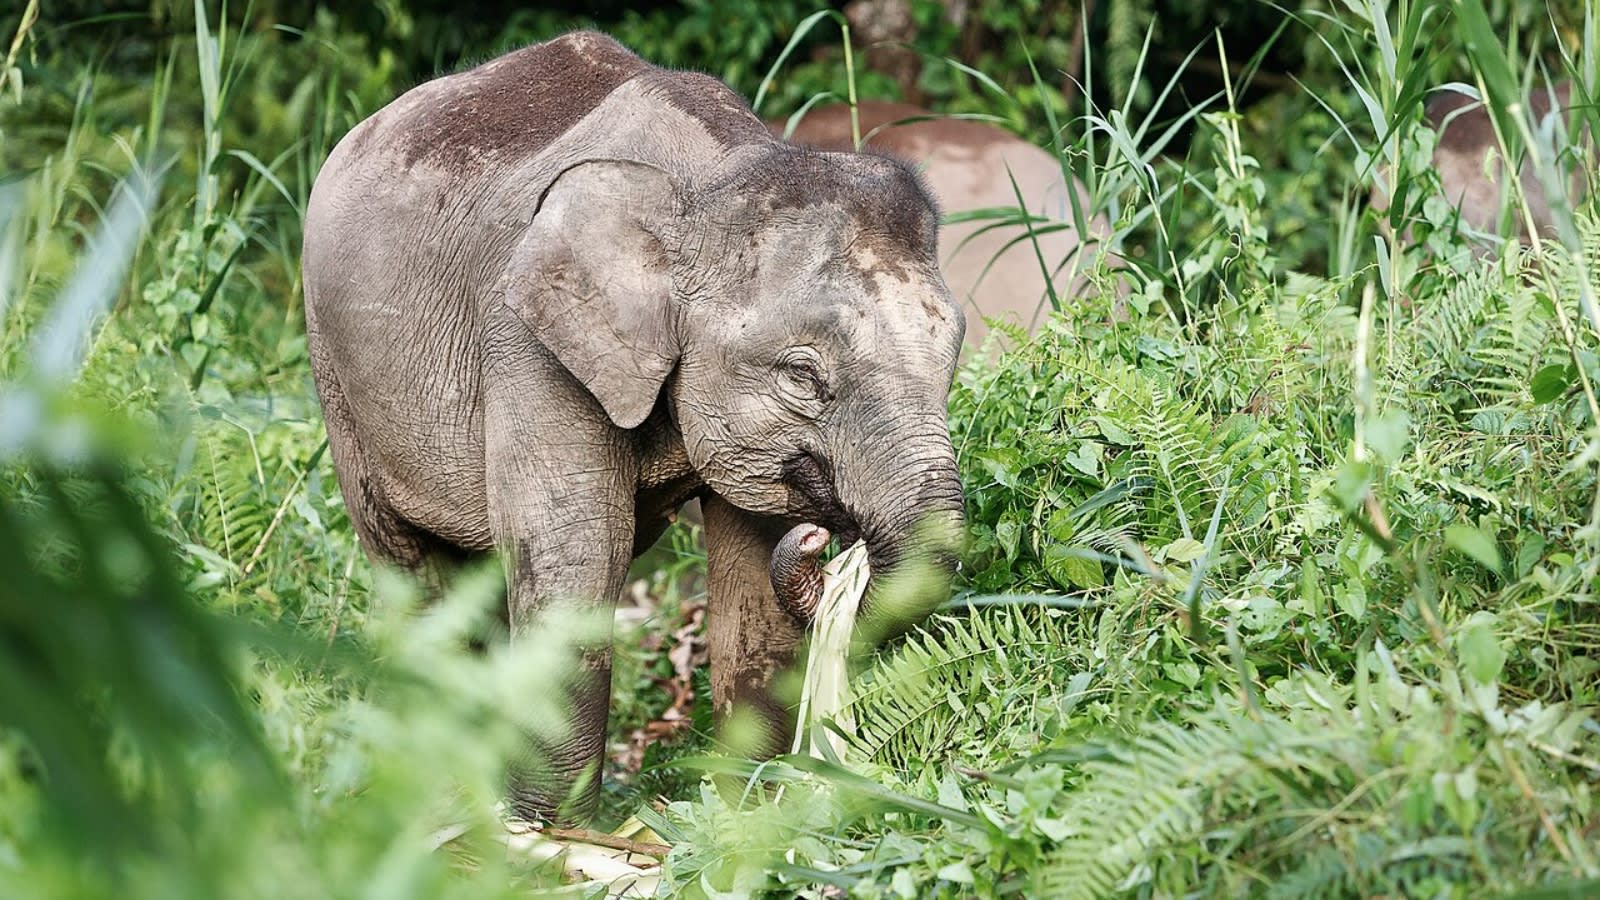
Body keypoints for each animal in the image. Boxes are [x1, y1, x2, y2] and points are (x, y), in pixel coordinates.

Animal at [301, 31, 966, 824]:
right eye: (803, 376)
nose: (824, 540)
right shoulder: (524, 340)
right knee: (410, 566)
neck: (711, 173)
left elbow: (750, 568)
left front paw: (744, 812)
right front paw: (551, 835)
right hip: (336, 373)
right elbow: (578, 551)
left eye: (954, 355)